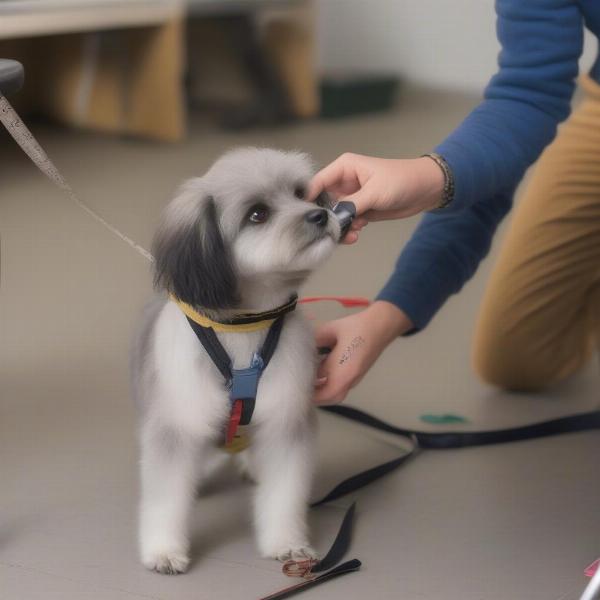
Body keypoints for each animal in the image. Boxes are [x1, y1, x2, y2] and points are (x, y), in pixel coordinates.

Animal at [129, 148, 340, 576]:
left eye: (301, 193)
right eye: (257, 214)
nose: (319, 215)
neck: (243, 330)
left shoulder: (285, 423)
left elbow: (284, 494)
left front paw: (287, 543)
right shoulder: (176, 425)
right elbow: (165, 498)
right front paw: (163, 551)